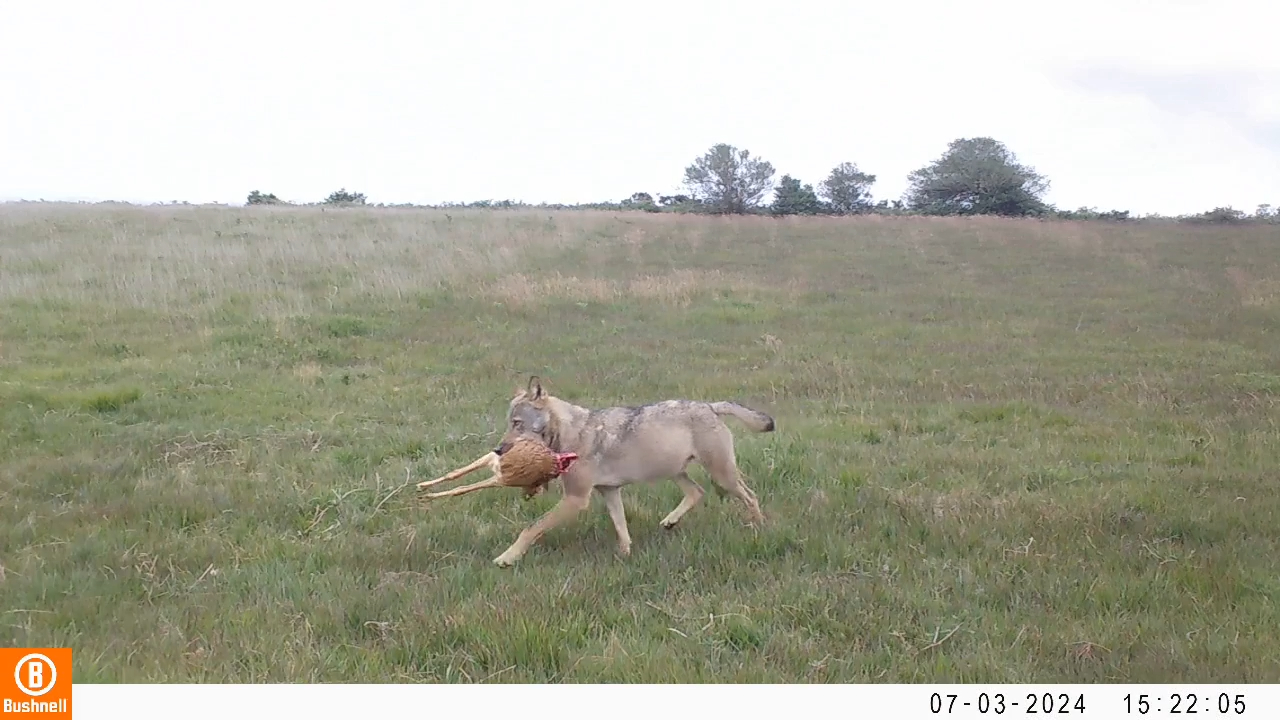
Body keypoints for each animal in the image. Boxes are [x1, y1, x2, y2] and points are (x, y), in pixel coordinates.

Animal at [483, 376, 773, 566]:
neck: (569, 433)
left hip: (721, 476)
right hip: (675, 471)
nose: (497, 449)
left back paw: (759, 528)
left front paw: (507, 557)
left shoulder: (576, 499)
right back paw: (670, 521)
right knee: (697, 492)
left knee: (750, 496)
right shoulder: (609, 492)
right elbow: (621, 527)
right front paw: (625, 555)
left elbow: (531, 528)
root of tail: (711, 406)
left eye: (517, 423)